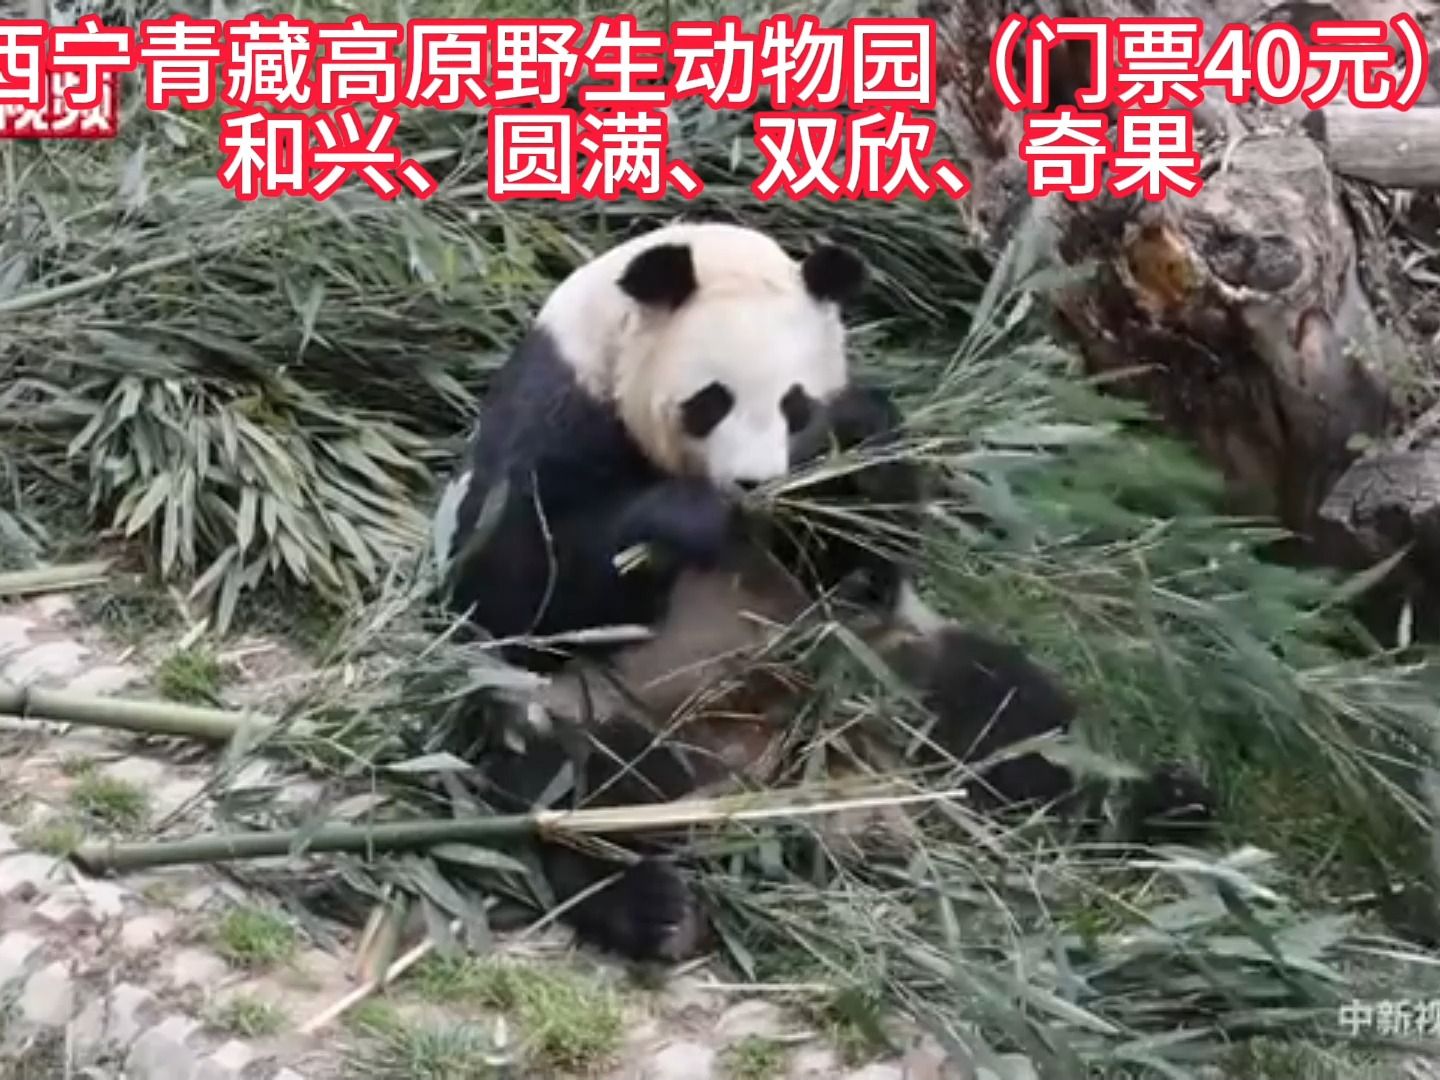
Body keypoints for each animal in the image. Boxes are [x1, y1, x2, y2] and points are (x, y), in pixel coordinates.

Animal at [429, 220, 1215, 961]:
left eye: (795, 405)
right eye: (710, 401)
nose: (756, 484)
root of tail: (777, 761)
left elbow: (867, 556)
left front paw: (848, 455)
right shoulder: (558, 414)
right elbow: (517, 589)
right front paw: (680, 519)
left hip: (884, 668)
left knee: (1013, 719)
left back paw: (1163, 805)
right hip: (599, 706)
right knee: (579, 788)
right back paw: (655, 907)